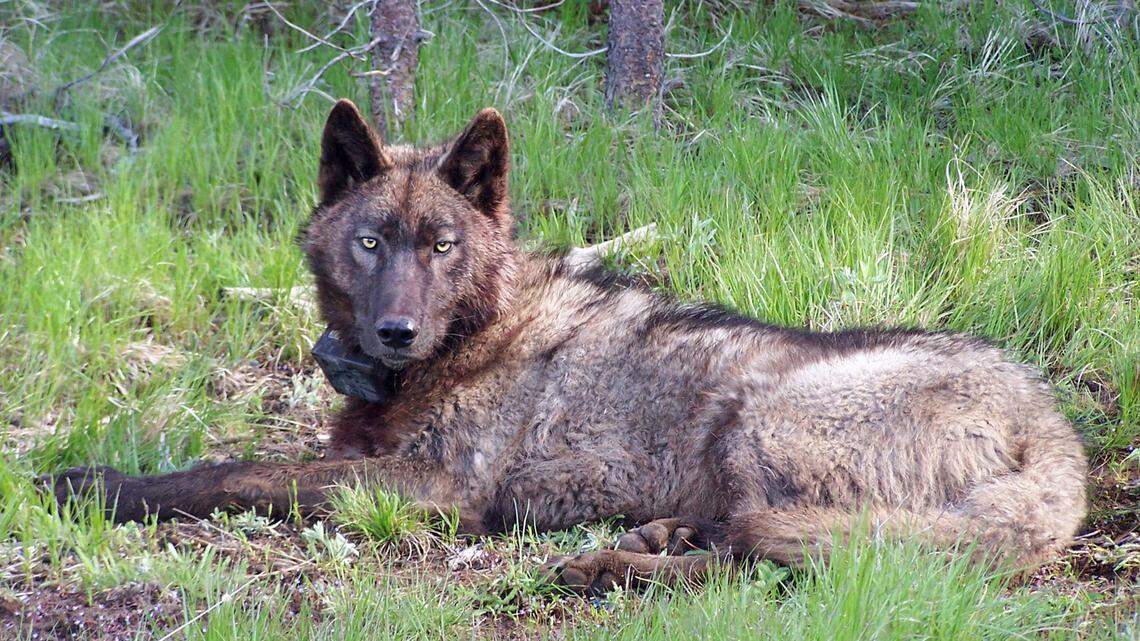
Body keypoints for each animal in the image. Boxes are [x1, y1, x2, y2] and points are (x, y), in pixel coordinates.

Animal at [49, 100, 1087, 594]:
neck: (475, 332)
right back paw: (654, 537)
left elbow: (236, 472)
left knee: (775, 556)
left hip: (754, 415)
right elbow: (251, 462)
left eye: (443, 245)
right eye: (373, 242)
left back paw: (604, 566)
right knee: (766, 544)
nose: (395, 330)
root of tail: (1054, 426)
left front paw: (96, 484)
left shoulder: (432, 489)